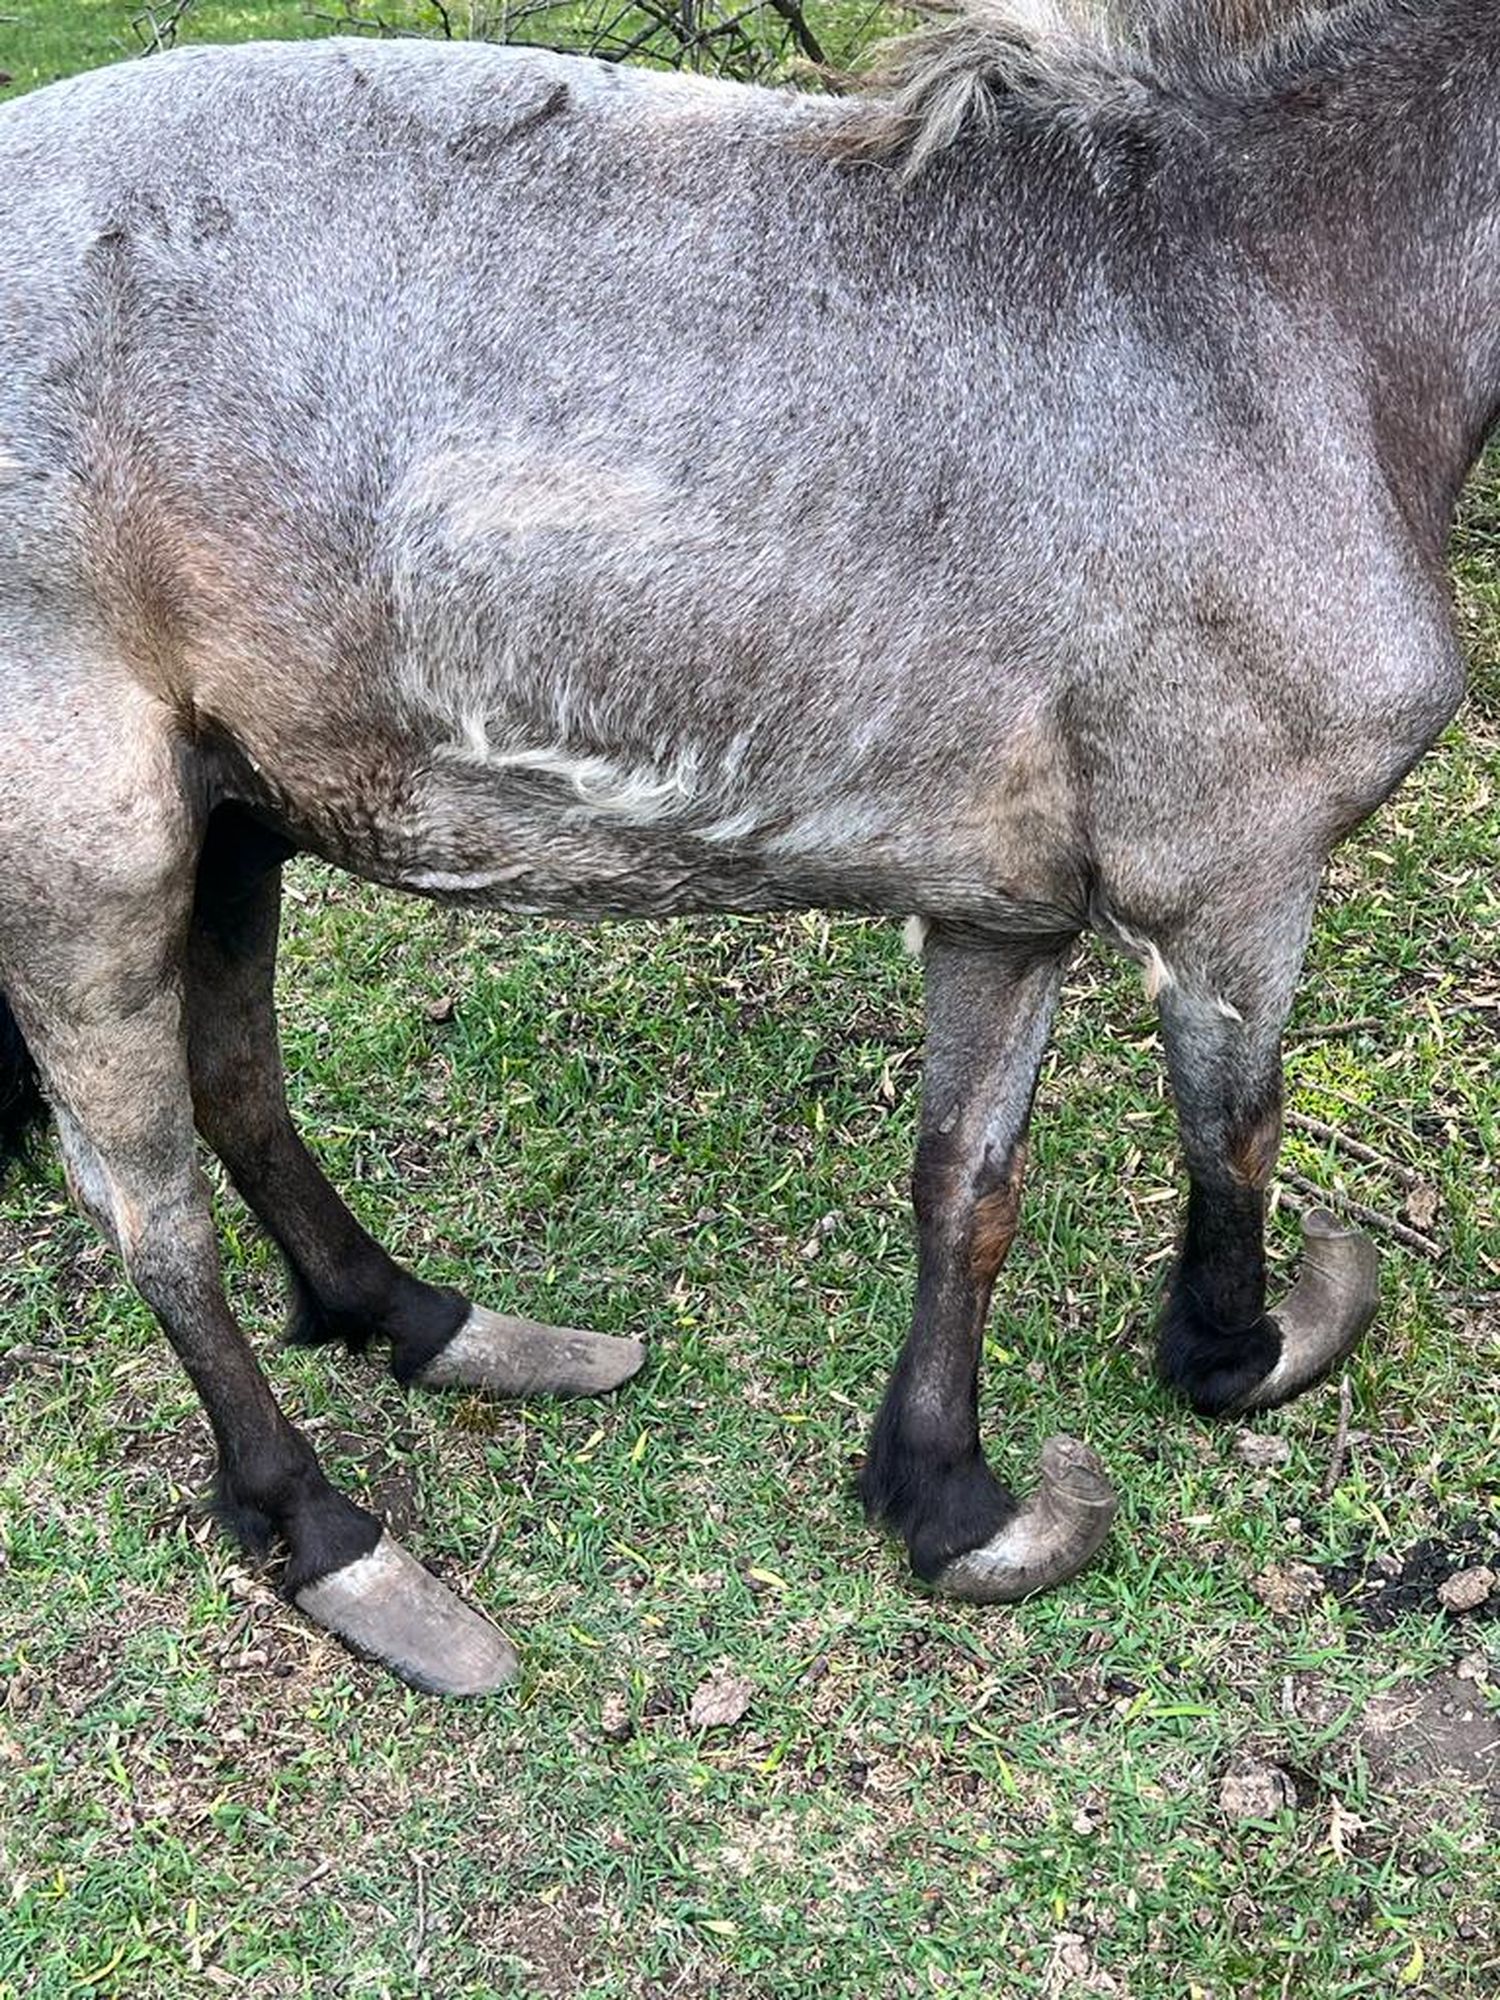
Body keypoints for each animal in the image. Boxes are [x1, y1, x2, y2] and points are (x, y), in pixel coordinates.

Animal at [0, 0, 1488, 1688]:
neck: (1248, 304)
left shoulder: (1006, 910)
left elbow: (966, 1186)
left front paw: (946, 1501)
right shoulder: (1232, 885)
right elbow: (1232, 1137)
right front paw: (1240, 1350)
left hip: (236, 817)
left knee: (240, 1086)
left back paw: (421, 1322)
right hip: (91, 860)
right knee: (155, 1218)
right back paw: (330, 1537)